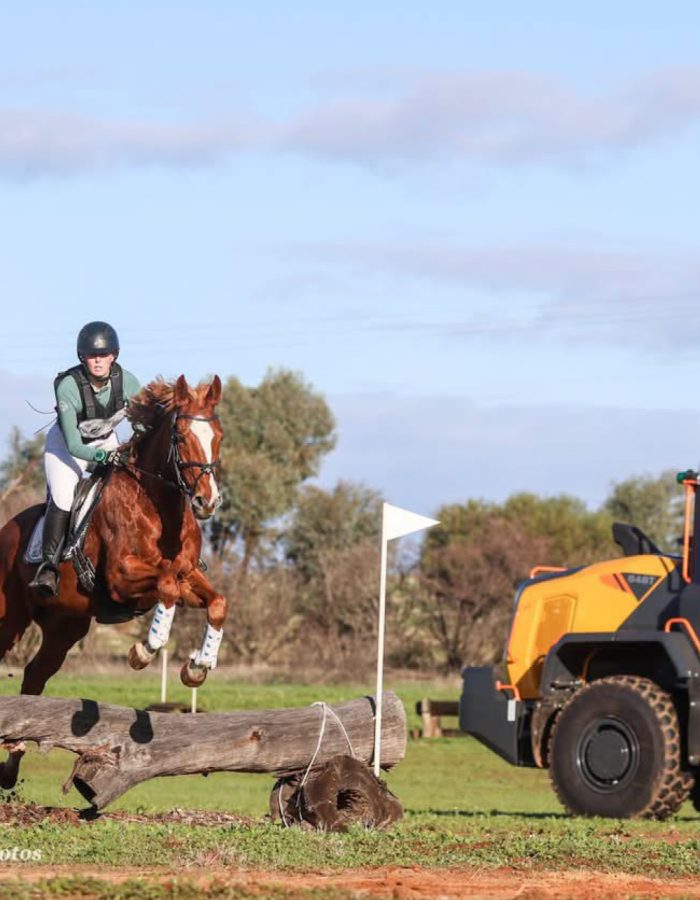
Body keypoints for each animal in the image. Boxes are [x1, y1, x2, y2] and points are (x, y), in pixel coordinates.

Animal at [0, 374, 227, 788]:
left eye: (217, 434)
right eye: (181, 436)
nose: (208, 501)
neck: (158, 504)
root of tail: (6, 529)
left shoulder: (189, 575)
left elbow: (216, 602)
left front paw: (198, 667)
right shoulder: (123, 579)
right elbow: (166, 587)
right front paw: (146, 649)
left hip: (64, 628)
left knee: (35, 677)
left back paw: (12, 764)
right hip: (9, 618)